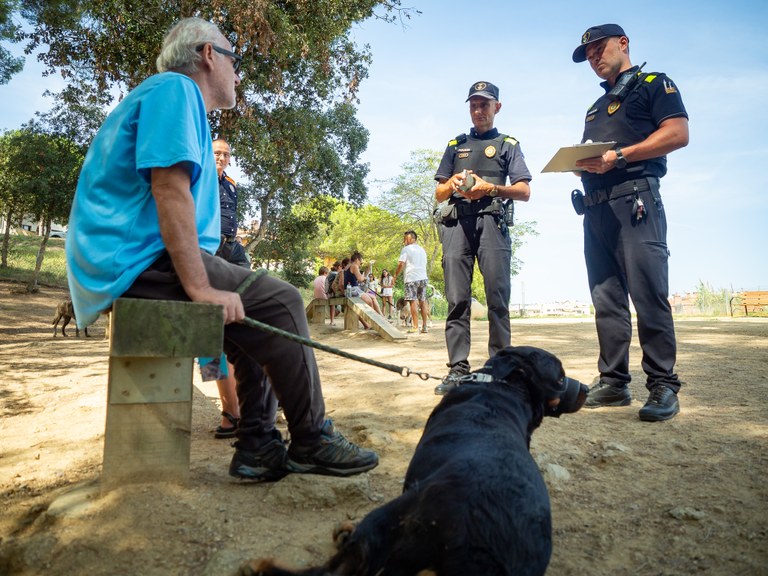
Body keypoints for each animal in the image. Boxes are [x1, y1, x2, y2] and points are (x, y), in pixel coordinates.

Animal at [243, 346, 584, 576]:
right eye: (561, 378)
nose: (585, 389)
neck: (503, 387)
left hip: (401, 509)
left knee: (339, 567)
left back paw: (263, 564)